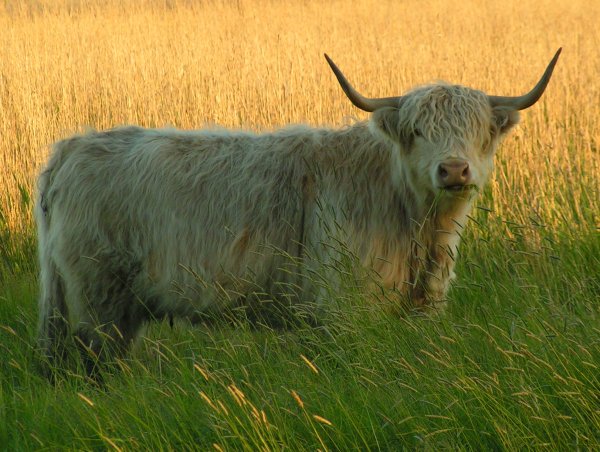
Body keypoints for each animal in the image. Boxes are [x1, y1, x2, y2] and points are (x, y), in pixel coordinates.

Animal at [36, 49, 564, 368]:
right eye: (417, 131)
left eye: (480, 131)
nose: (453, 170)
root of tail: (69, 148)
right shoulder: (345, 306)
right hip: (99, 300)